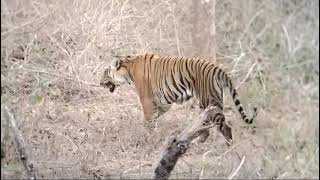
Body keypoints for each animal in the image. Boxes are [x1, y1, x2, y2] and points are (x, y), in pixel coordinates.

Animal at [100, 53, 258, 145]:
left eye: (105, 72)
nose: (99, 82)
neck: (128, 69)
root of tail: (216, 68)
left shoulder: (147, 100)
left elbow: (149, 120)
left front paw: (147, 137)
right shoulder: (162, 103)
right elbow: (154, 118)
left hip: (210, 101)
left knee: (225, 126)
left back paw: (229, 146)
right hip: (205, 105)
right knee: (206, 127)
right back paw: (196, 143)